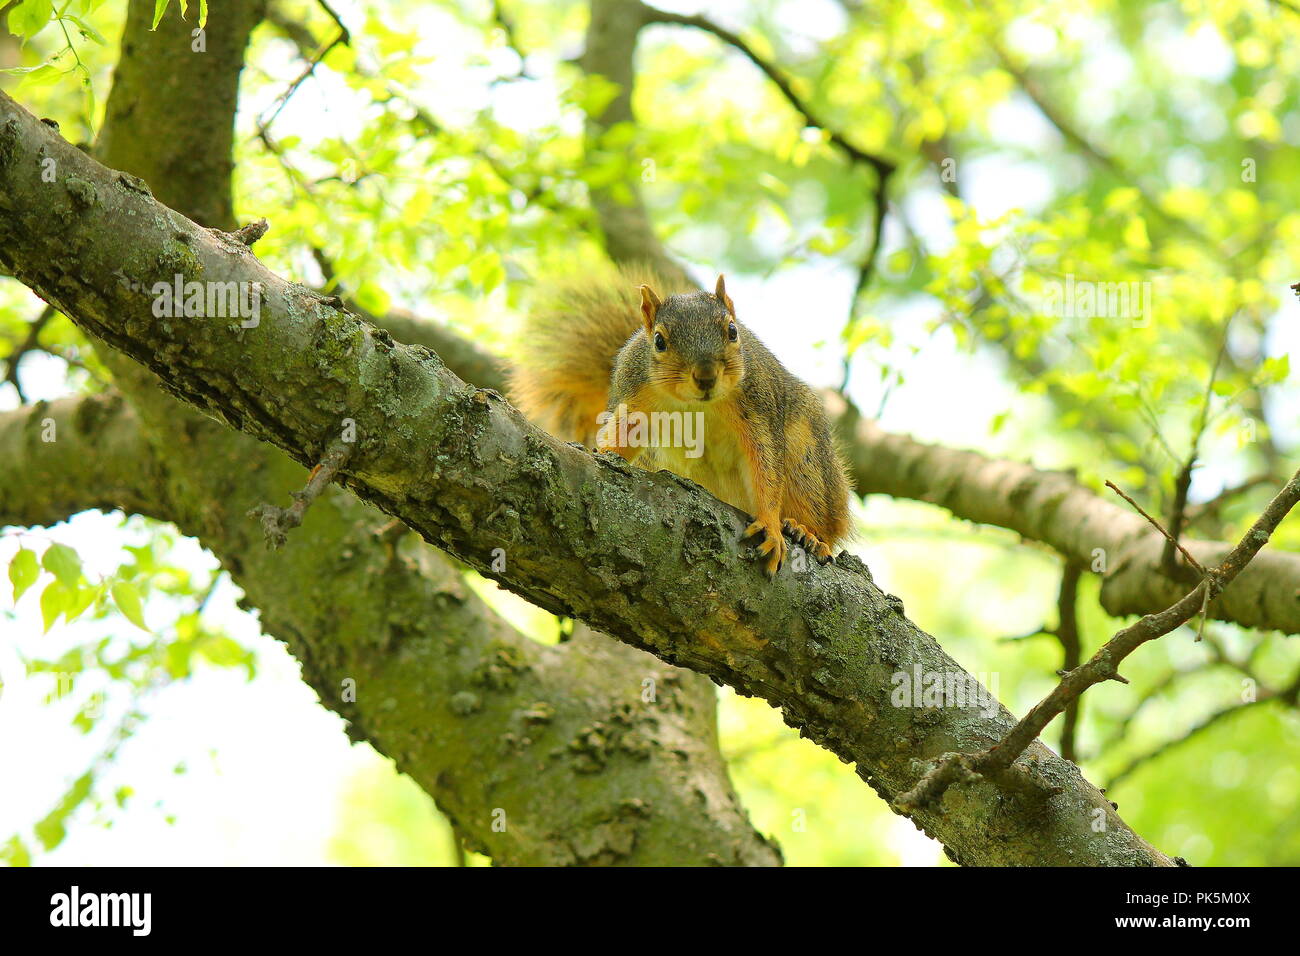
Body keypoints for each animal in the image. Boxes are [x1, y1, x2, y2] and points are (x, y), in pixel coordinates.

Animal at [509, 263, 852, 578]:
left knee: (823, 517)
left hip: (808, 460)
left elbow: (767, 466)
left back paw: (806, 532)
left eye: (732, 331)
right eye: (659, 341)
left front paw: (770, 526)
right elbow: (622, 439)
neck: (696, 405)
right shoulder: (635, 400)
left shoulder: (759, 409)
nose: (706, 376)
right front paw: (602, 455)